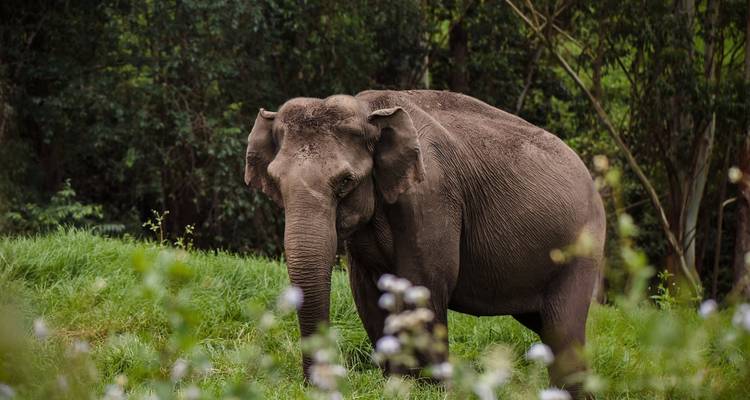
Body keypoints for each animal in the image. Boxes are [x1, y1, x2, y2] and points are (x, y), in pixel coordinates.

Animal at [244, 90, 605, 395]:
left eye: (345, 181)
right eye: (275, 181)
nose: (312, 385)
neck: (369, 109)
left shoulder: (431, 197)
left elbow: (425, 283)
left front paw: (428, 389)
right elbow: (369, 292)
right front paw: (396, 384)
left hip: (581, 249)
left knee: (563, 329)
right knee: (544, 326)